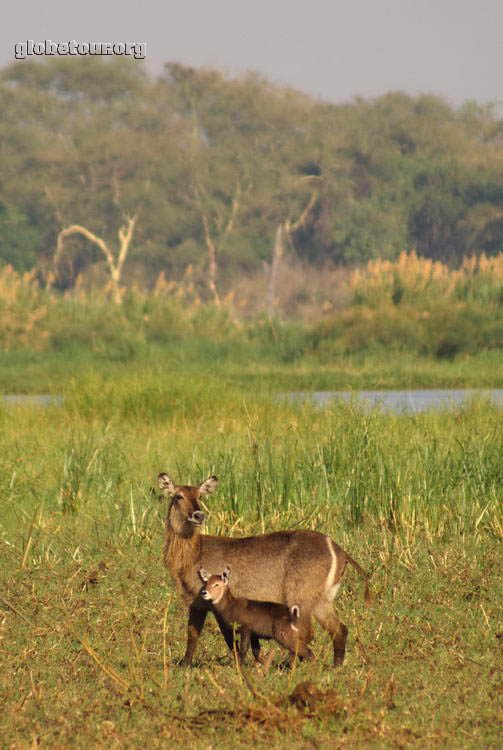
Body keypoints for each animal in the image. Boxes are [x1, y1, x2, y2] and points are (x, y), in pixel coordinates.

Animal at [159, 472, 372, 668]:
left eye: (200, 496)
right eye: (178, 496)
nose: (198, 515)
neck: (194, 552)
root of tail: (338, 549)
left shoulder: (211, 603)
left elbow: (226, 638)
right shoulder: (196, 603)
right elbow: (193, 634)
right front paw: (185, 665)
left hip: (300, 598)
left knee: (306, 633)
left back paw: (291, 665)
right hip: (321, 600)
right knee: (339, 630)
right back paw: (335, 667)